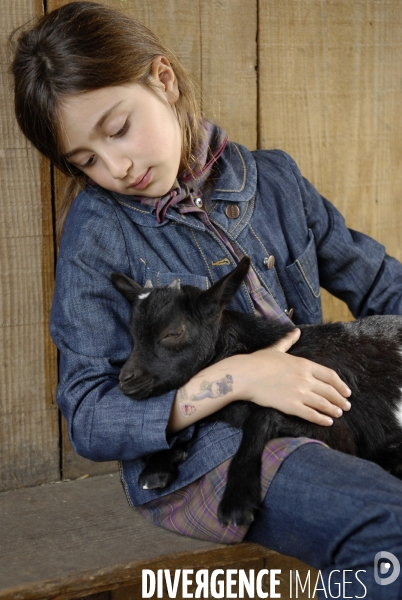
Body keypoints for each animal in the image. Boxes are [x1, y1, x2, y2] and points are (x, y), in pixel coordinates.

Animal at [111, 258, 402, 524]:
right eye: (132, 335)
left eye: (173, 333)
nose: (125, 380)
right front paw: (157, 465)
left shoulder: (334, 422)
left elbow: (260, 418)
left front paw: (237, 500)